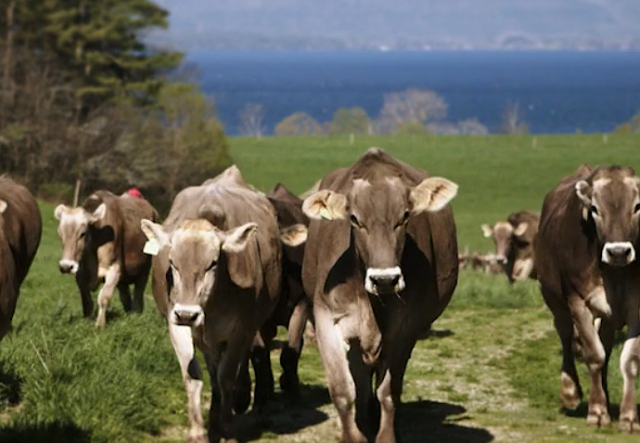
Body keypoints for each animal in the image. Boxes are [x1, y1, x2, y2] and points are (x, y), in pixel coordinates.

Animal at [54, 190, 158, 326]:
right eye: (60, 234)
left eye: (83, 233)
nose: (66, 266)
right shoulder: (80, 273)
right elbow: (87, 301)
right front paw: (86, 320)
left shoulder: (114, 268)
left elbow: (104, 297)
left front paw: (100, 324)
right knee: (125, 296)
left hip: (145, 268)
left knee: (138, 292)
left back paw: (136, 314)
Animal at [141, 165, 282, 443]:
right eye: (172, 262)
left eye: (213, 263)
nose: (187, 314)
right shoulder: (177, 326)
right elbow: (193, 376)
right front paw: (198, 431)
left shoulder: (241, 330)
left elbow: (227, 376)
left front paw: (227, 430)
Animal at [301, 147, 459, 443]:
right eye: (354, 219)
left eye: (405, 215)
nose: (385, 279)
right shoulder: (327, 319)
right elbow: (343, 390)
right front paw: (354, 435)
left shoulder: (405, 328)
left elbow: (388, 392)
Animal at [536, 164, 640, 432]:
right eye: (594, 208)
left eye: (637, 206)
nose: (618, 252)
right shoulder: (579, 303)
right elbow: (594, 355)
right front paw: (597, 411)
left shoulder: (637, 307)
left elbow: (629, 360)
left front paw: (628, 416)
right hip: (555, 300)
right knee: (565, 336)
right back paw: (570, 391)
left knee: (606, 347)